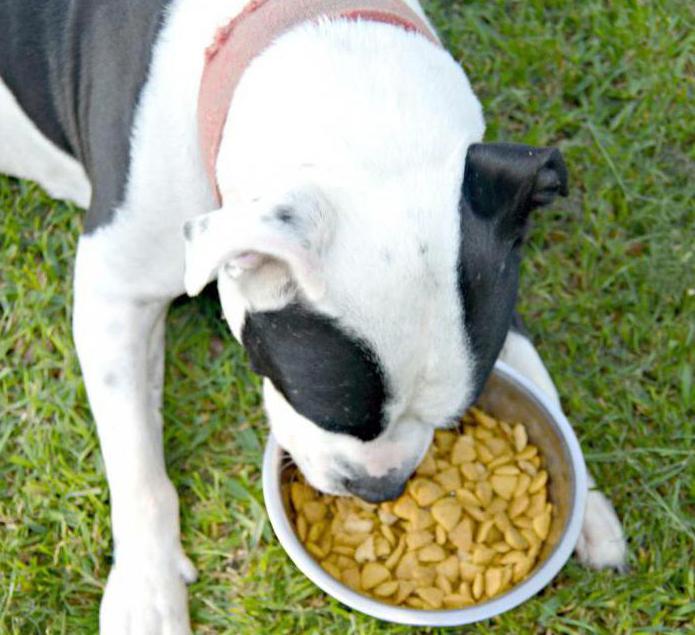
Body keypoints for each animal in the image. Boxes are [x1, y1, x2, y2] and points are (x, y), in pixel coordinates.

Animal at [0, 0, 628, 632]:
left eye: (456, 416)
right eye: (326, 409)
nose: (380, 488)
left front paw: (589, 505)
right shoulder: (115, 294)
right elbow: (136, 462)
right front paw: (148, 593)